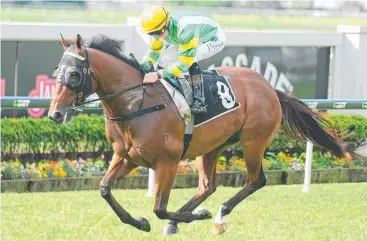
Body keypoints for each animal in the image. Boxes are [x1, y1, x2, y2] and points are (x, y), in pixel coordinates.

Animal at [48, 34, 344, 235]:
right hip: (211, 147)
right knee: (207, 186)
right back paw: (179, 220)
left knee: (255, 180)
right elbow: (105, 190)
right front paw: (141, 223)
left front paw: (197, 216)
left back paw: (219, 215)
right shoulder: (126, 157)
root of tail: (269, 86)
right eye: (57, 71)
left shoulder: (167, 162)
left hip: (253, 141)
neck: (136, 103)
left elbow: (159, 207)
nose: (55, 114)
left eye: (74, 74)